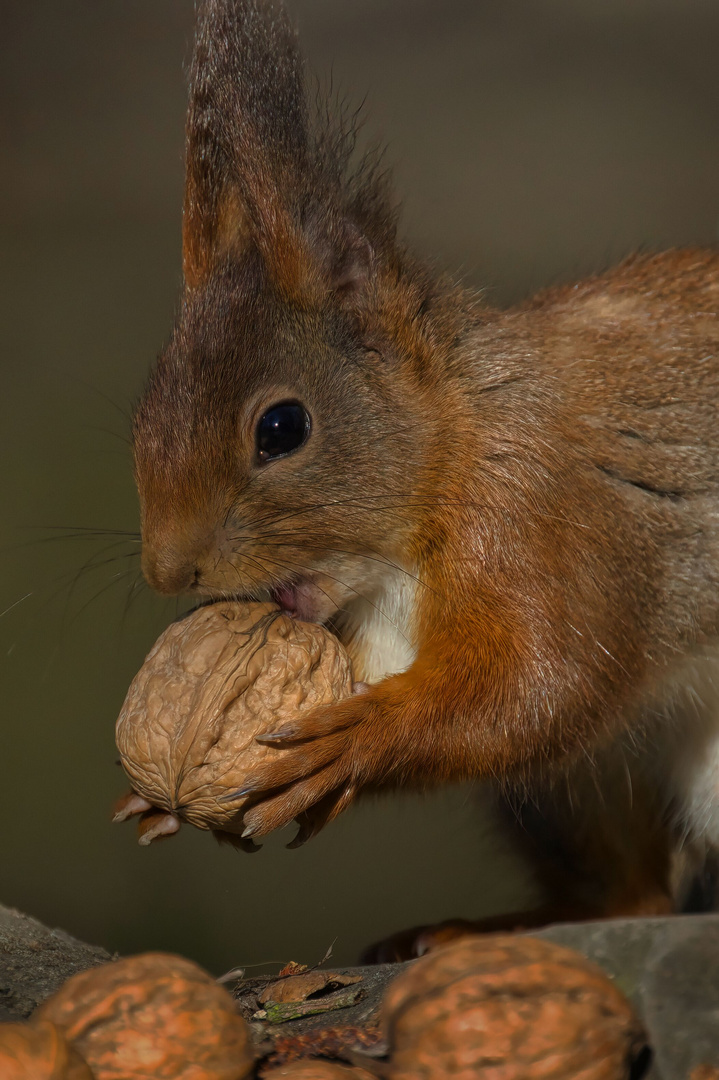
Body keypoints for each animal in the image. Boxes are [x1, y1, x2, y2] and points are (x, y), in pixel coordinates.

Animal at [131, 0, 716, 954]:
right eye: (140, 418)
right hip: (573, 796)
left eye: (281, 428)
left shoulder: (540, 517)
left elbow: (539, 686)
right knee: (629, 897)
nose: (168, 571)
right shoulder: (374, 632)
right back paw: (478, 931)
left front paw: (364, 737)